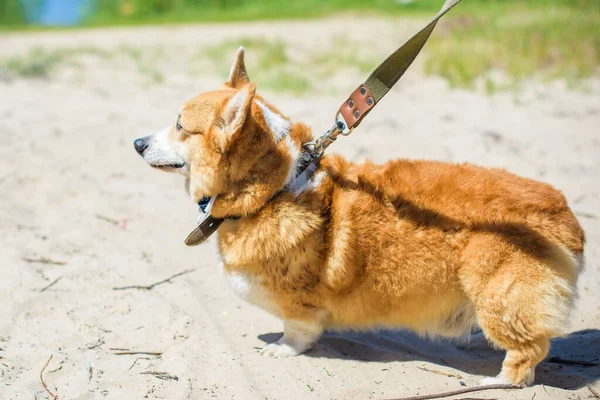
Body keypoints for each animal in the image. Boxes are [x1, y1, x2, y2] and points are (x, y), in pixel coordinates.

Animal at [132, 47, 584, 388]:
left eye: (179, 125)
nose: (136, 142)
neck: (272, 185)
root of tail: (565, 217)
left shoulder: (299, 302)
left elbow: (298, 329)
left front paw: (281, 349)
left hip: (499, 299)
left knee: (529, 350)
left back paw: (497, 382)